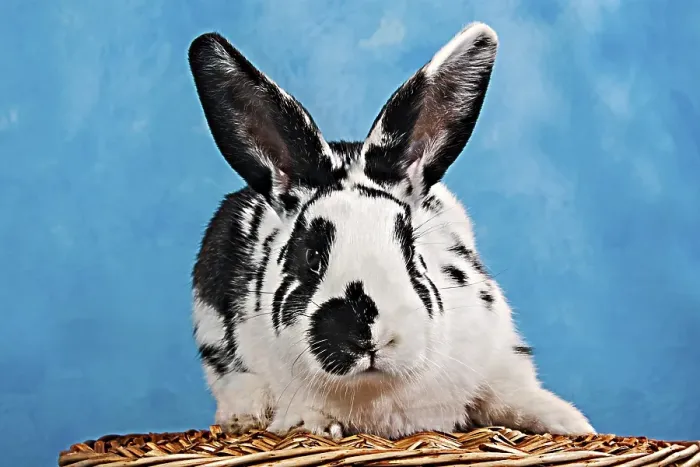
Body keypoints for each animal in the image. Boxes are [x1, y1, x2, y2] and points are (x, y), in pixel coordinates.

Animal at [187, 21, 595, 440]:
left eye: (412, 252)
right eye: (311, 257)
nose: (366, 335)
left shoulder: (497, 353)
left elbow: (509, 394)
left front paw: (571, 422)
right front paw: (315, 424)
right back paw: (242, 416)